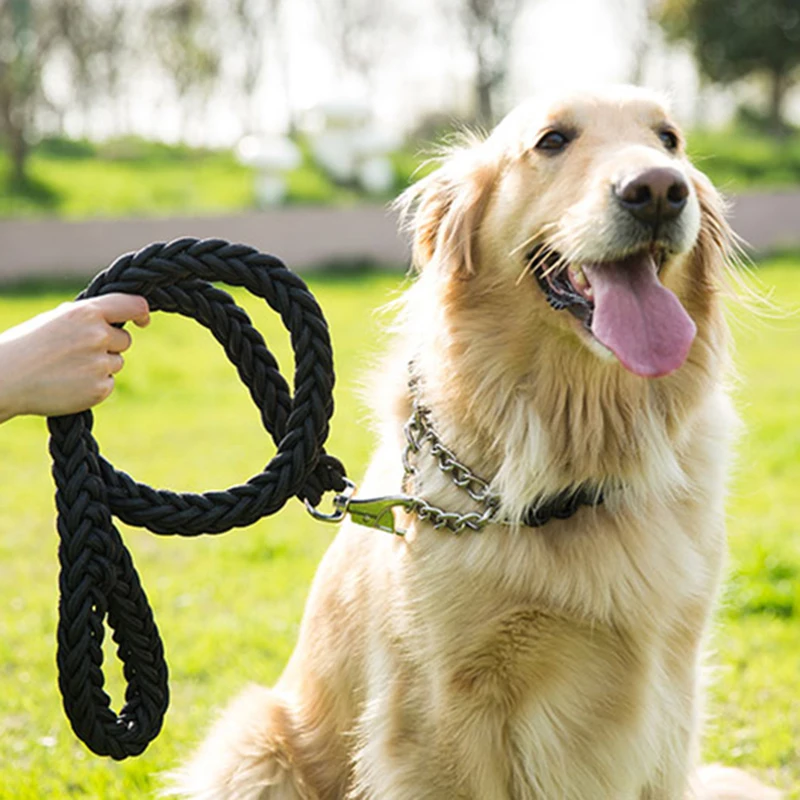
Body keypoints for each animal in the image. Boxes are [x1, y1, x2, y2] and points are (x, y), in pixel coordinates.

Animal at [173, 84, 780, 796]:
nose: (659, 189)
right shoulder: (439, 710)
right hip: (255, 739)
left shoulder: (670, 695)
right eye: (552, 141)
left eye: (669, 141)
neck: (576, 448)